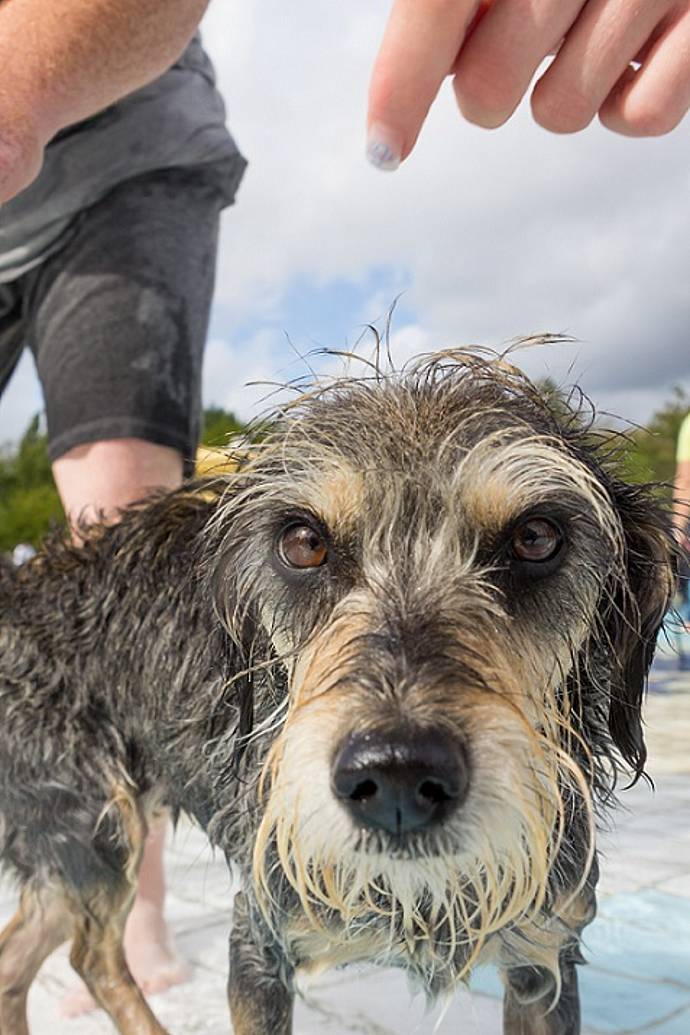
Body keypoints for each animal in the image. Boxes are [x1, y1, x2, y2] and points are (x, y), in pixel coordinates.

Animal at [0, 349, 678, 1035]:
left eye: (535, 537)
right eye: (304, 543)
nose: (399, 775)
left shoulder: (544, 958)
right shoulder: (258, 941)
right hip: (88, 824)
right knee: (90, 953)